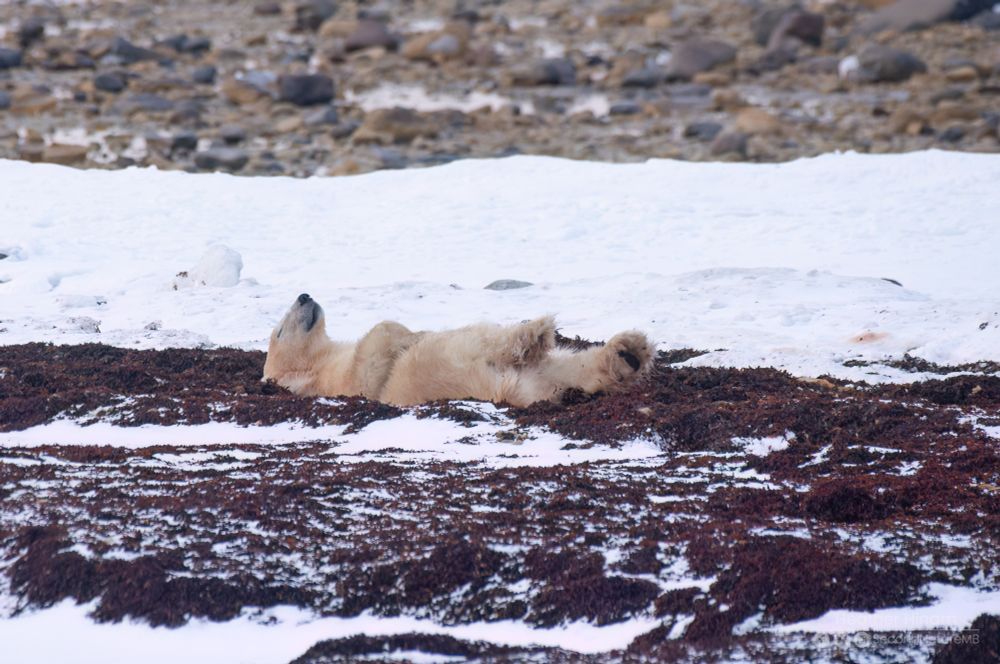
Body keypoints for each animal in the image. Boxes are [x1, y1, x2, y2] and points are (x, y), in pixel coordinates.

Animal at [263, 293, 654, 407]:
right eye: (279, 331)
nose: (304, 296)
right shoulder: (353, 381)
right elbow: (376, 350)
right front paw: (408, 333)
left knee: (573, 368)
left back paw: (629, 352)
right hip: (449, 364)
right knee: (485, 341)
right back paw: (535, 332)